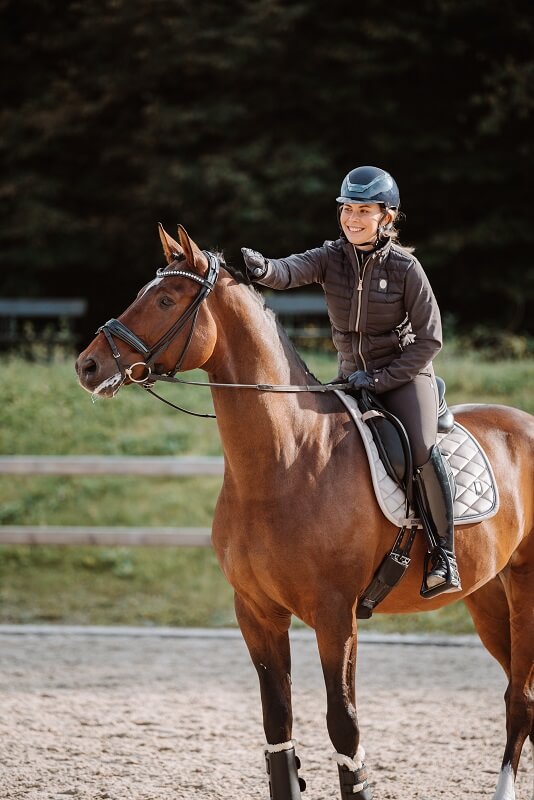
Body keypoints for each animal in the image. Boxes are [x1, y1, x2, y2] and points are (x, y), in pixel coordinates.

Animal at [76, 223, 534, 800]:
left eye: (164, 300)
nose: (88, 365)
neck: (286, 459)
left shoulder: (335, 617)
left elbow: (344, 729)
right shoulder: (256, 613)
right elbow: (279, 729)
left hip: (524, 592)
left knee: (520, 699)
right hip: (488, 599)